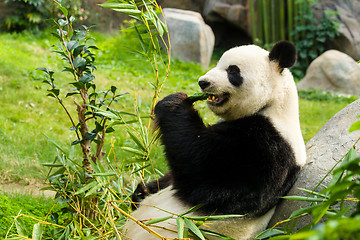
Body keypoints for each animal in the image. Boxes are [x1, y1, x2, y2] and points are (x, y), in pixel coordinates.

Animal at [124, 41, 306, 240]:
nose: (203, 82)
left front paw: (174, 102)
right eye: (218, 64)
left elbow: (202, 172)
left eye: (232, 70)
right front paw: (142, 190)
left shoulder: (267, 149)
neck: (273, 104)